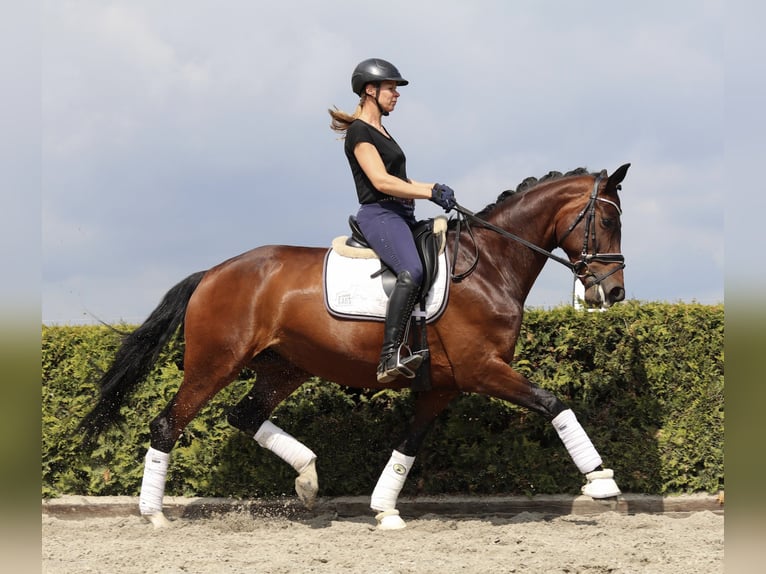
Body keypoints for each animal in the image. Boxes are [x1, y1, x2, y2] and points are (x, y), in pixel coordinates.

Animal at [79, 163, 630, 530]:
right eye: (607, 222)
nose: (613, 292)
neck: (489, 266)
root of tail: (212, 273)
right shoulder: (483, 369)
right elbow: (554, 403)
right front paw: (602, 481)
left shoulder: (443, 385)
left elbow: (408, 445)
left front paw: (384, 510)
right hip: (214, 364)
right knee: (167, 424)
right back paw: (154, 515)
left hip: (284, 368)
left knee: (245, 415)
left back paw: (308, 479)